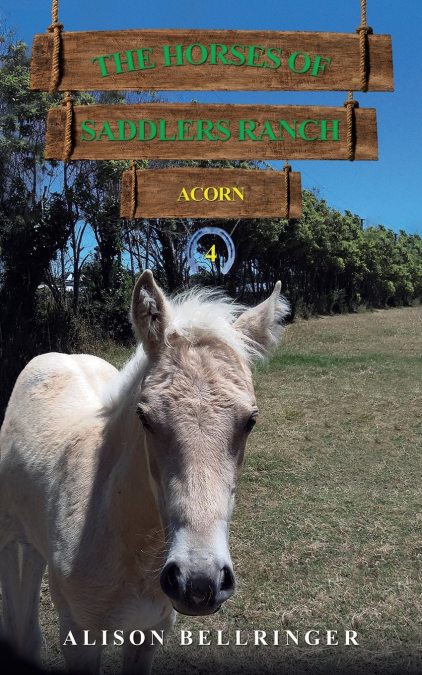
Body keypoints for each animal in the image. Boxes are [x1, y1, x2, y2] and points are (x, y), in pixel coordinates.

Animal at [0, 270, 289, 674]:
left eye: (250, 420)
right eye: (145, 417)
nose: (198, 583)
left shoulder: (152, 629)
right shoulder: (79, 636)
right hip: (7, 536)